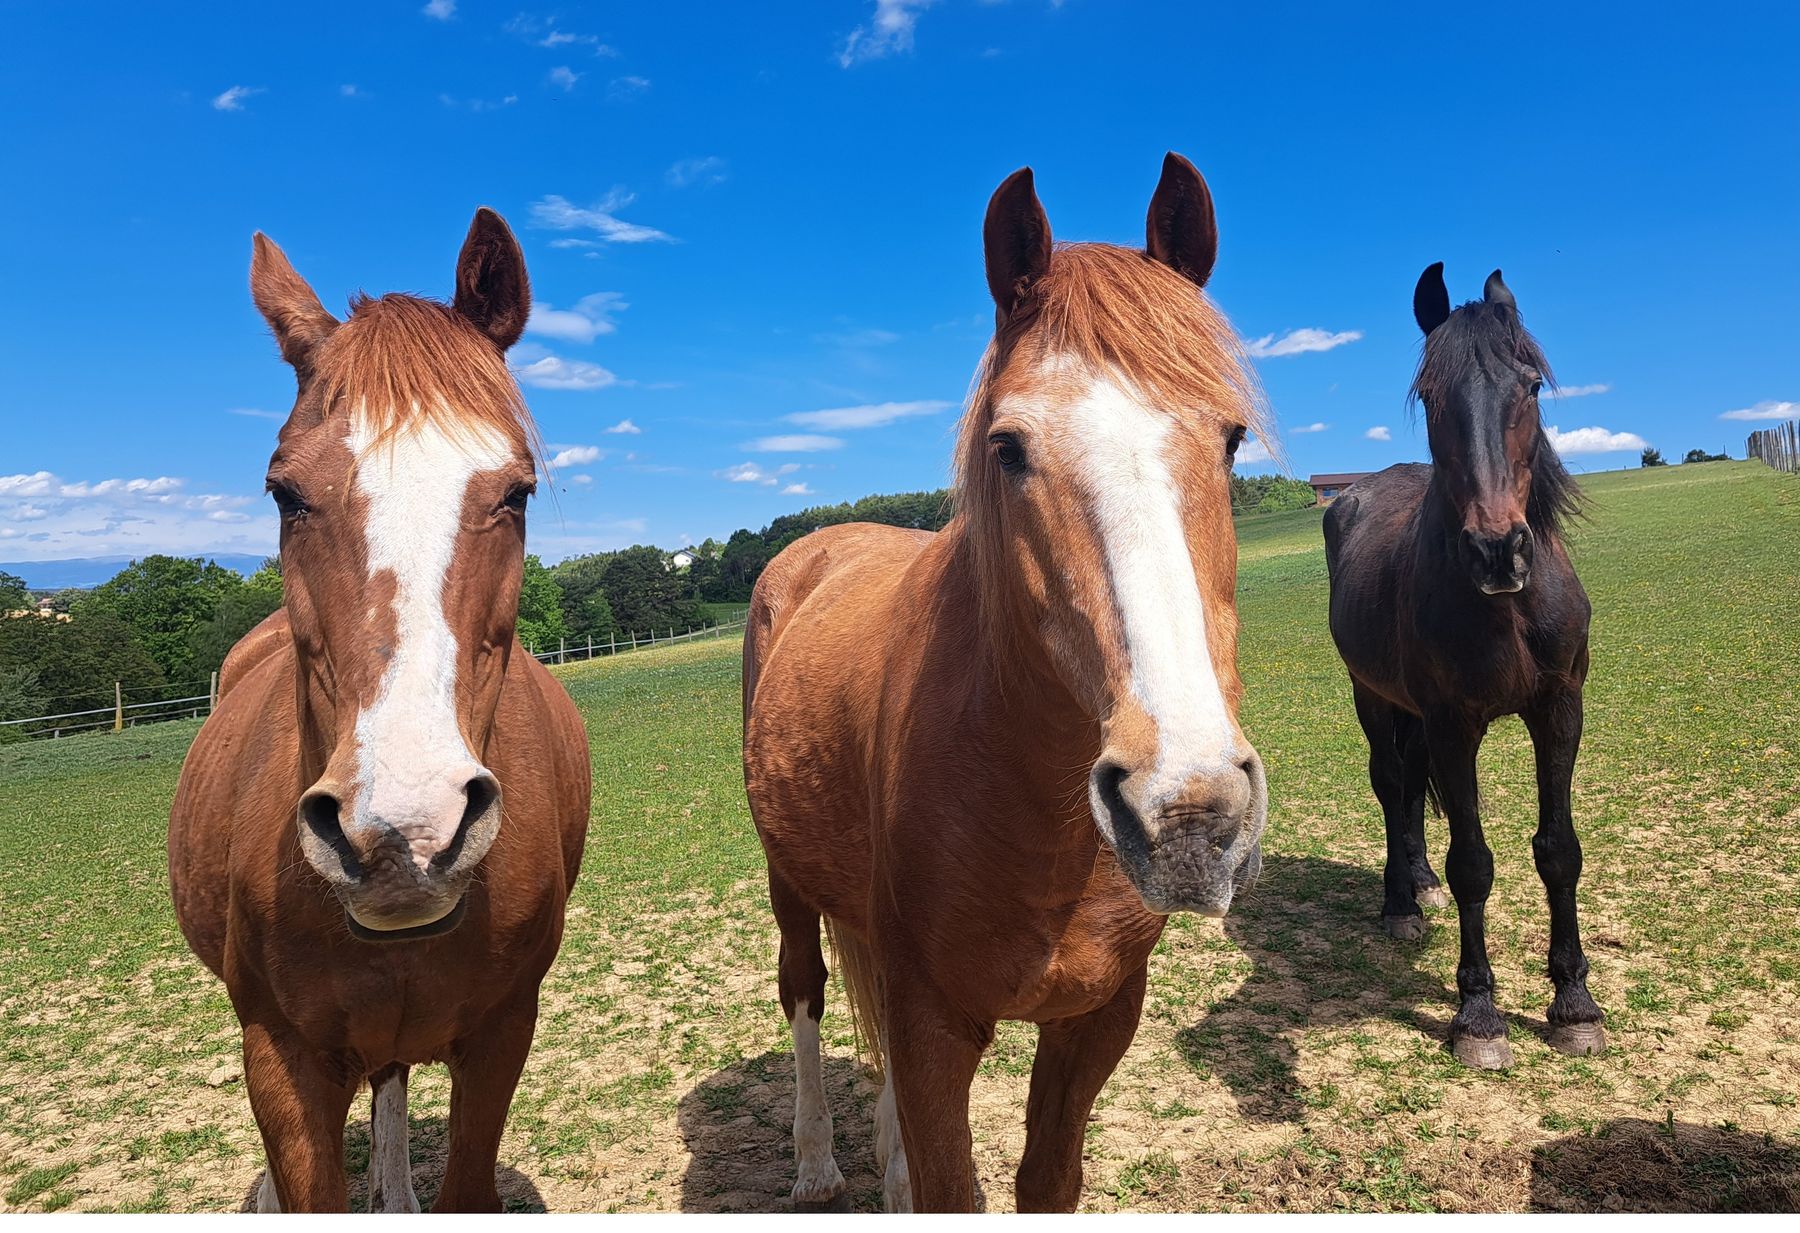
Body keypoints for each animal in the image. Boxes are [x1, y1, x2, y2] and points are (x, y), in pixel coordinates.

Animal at [742, 154, 1270, 1212]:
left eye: (1231, 437)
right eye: (1009, 446)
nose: (1189, 810)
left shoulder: (1097, 1018)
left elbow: (1045, 1177)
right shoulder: (935, 1025)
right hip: (791, 885)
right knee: (804, 992)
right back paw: (817, 1162)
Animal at [1322, 264, 1605, 1070]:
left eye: (1532, 384)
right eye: (1430, 396)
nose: (1496, 551)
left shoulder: (1559, 708)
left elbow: (1559, 851)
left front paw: (1575, 1002)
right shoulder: (1455, 723)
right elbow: (1473, 862)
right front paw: (1479, 1014)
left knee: (1412, 786)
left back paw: (1418, 885)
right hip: (1372, 694)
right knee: (1392, 784)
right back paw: (1398, 901)